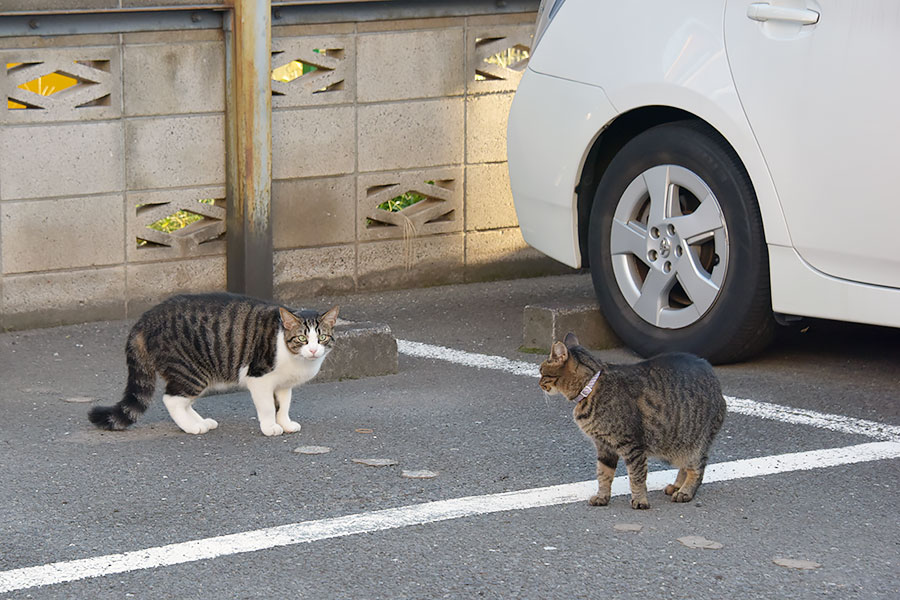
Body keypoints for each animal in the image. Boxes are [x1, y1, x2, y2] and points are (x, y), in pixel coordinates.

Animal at [89, 294, 340, 436]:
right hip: (191, 371)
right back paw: (192, 427)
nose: (314, 350)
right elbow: (268, 407)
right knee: (171, 399)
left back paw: (200, 422)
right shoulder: (259, 378)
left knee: (183, 400)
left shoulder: (283, 385)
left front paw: (285, 423)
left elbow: (284, 405)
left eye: (322, 338)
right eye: (302, 339)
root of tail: (146, 318)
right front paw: (270, 427)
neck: (296, 359)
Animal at [536, 332, 728, 506]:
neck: (589, 388)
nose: (538, 383)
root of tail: (715, 378)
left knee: (698, 469)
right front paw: (602, 497)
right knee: (685, 466)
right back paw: (676, 486)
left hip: (694, 443)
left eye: (541, 371)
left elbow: (636, 477)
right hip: (678, 444)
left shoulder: (632, 446)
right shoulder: (604, 447)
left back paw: (685, 492)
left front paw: (640, 500)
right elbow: (603, 474)